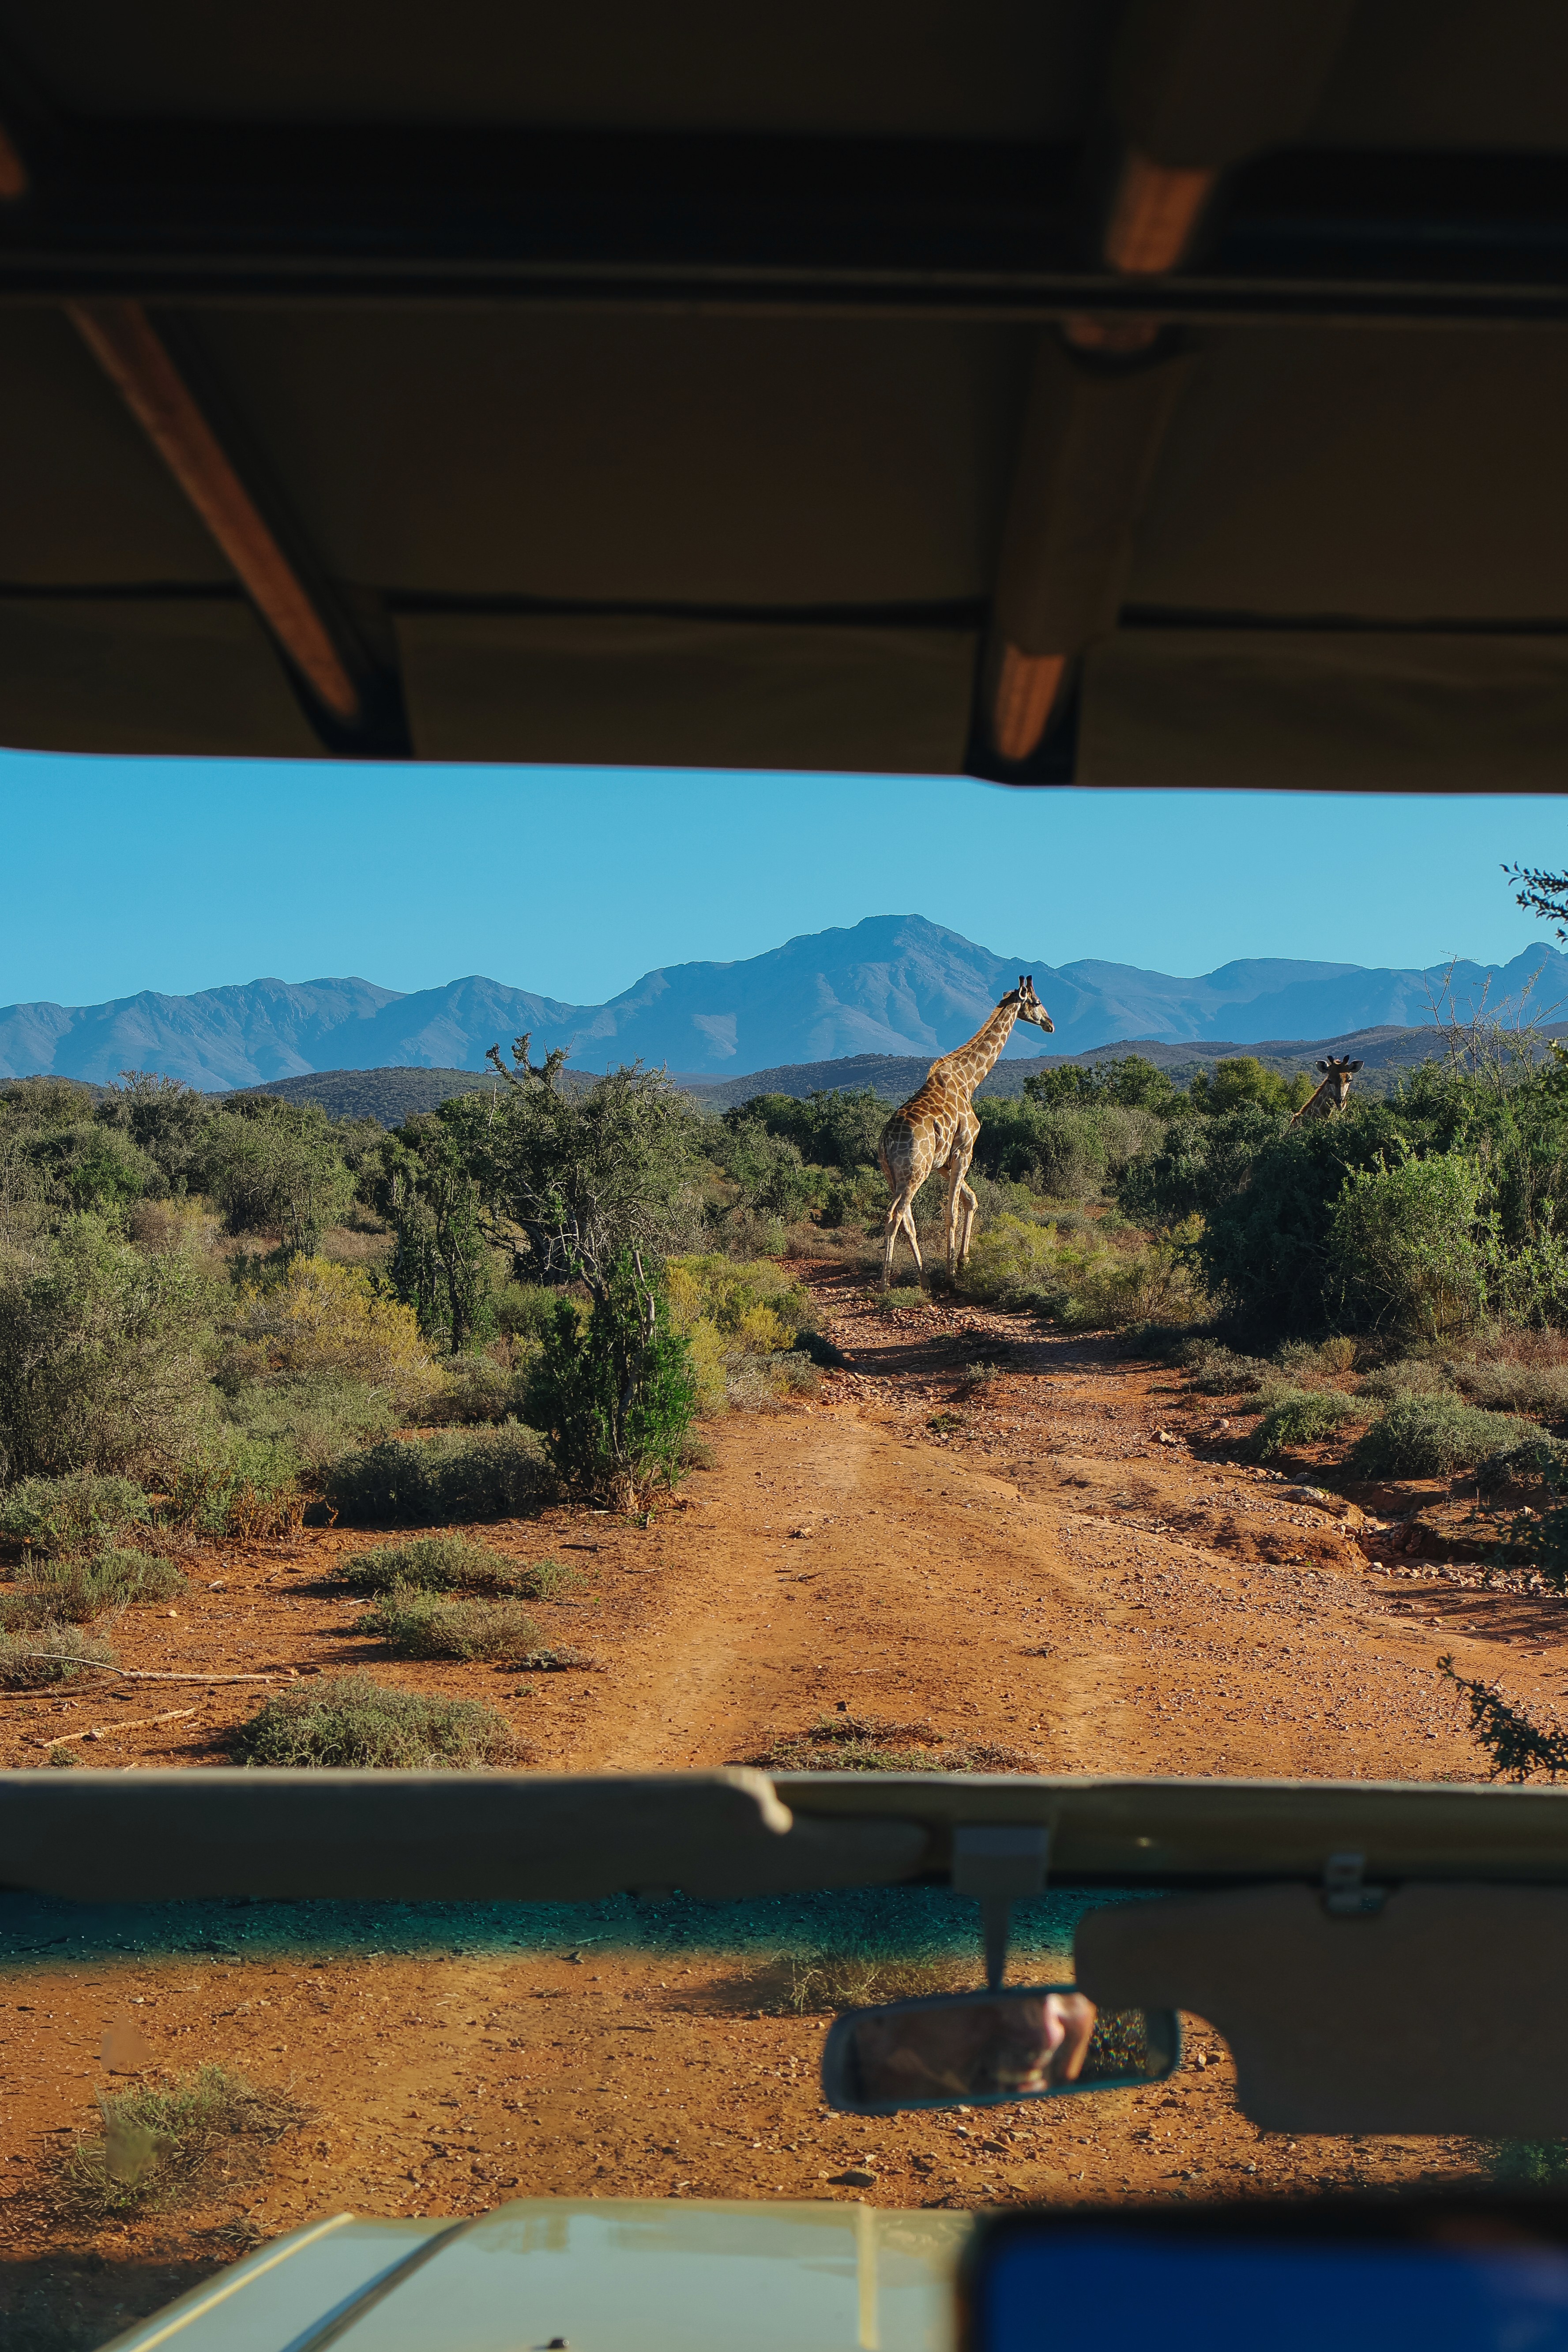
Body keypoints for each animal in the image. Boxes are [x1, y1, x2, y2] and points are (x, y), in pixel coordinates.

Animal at [877, 977, 1055, 1287]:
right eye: (1036, 1002)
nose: (1050, 1024)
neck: (969, 1080)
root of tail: (886, 1141)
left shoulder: (944, 1163)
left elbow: (970, 1201)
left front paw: (964, 1261)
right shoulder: (964, 1150)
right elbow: (952, 1213)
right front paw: (952, 1273)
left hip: (895, 1175)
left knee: (905, 1217)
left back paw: (924, 1279)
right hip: (915, 1172)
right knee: (895, 1214)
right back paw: (886, 1285)